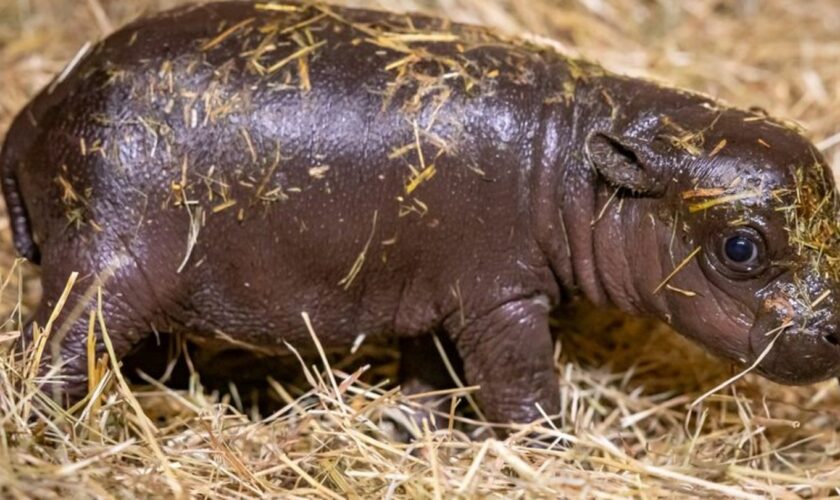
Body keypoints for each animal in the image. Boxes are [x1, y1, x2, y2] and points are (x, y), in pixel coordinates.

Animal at [1, 0, 840, 426]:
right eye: (740, 248)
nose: (836, 328)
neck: (575, 159)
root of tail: (39, 105)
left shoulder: (433, 291)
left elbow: (433, 378)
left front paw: (411, 428)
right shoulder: (503, 298)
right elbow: (522, 384)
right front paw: (546, 450)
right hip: (105, 265)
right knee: (53, 349)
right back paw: (48, 433)